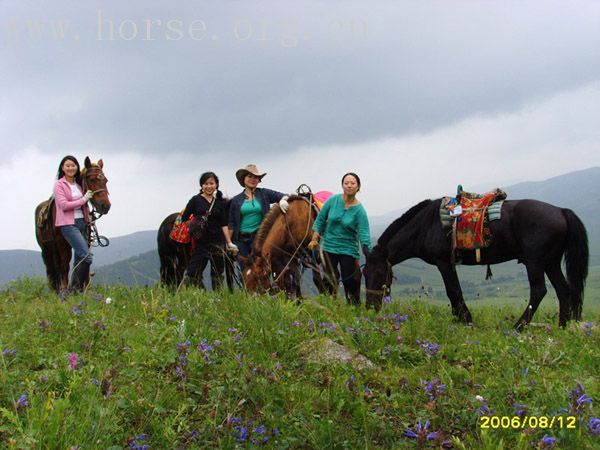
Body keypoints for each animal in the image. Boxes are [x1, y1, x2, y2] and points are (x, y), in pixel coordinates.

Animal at [34, 156, 110, 294]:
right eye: (92, 179)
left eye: (105, 180)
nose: (106, 206)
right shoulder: (62, 242)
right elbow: (65, 265)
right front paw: (65, 291)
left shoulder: (85, 240)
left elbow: (83, 261)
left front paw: (83, 289)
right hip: (46, 249)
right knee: (51, 269)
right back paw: (54, 292)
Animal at [364, 199, 588, 328]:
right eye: (365, 273)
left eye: (380, 273)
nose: (370, 307)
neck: (425, 226)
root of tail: (560, 210)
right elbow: (454, 292)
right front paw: (459, 317)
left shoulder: (444, 263)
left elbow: (453, 291)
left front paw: (465, 319)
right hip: (550, 262)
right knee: (563, 289)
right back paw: (562, 326)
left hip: (535, 261)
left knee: (539, 290)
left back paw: (519, 327)